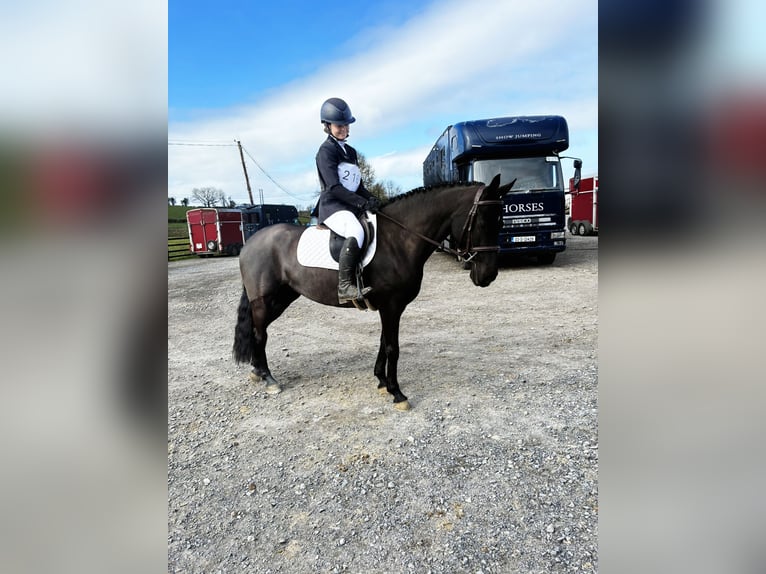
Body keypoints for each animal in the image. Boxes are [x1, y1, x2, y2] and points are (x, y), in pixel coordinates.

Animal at [233, 174, 511, 410]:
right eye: (482, 220)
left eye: (500, 220)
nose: (488, 275)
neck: (399, 238)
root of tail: (251, 242)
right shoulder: (392, 306)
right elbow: (392, 347)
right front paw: (397, 393)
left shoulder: (389, 307)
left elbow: (382, 342)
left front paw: (381, 382)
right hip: (264, 301)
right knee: (260, 333)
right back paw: (269, 379)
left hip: (282, 298)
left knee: (259, 330)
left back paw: (257, 372)